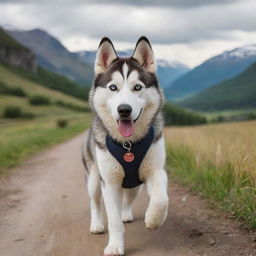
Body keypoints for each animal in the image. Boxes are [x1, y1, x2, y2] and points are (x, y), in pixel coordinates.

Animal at [83, 36, 169, 256]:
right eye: (113, 87)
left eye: (137, 87)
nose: (124, 110)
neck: (128, 145)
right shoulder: (109, 182)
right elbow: (113, 221)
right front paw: (114, 246)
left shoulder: (155, 171)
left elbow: (161, 199)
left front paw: (153, 220)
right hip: (94, 178)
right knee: (94, 201)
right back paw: (96, 224)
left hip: (134, 186)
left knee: (128, 199)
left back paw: (126, 214)